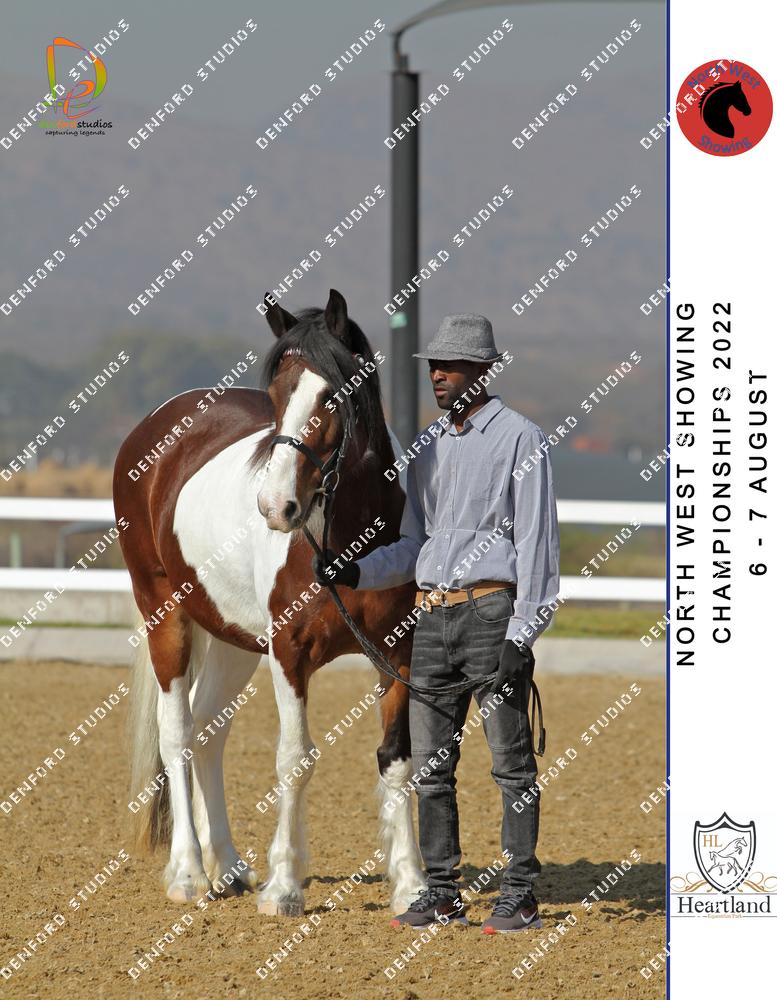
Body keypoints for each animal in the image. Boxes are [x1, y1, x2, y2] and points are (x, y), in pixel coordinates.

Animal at [116, 288, 428, 916]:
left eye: (334, 393)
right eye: (278, 396)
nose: (275, 507)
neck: (349, 542)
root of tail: (154, 427)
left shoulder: (395, 652)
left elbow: (396, 758)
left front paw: (411, 886)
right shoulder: (289, 653)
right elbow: (295, 758)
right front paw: (285, 885)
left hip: (232, 639)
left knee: (207, 731)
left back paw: (230, 867)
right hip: (167, 616)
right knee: (177, 733)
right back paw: (189, 873)